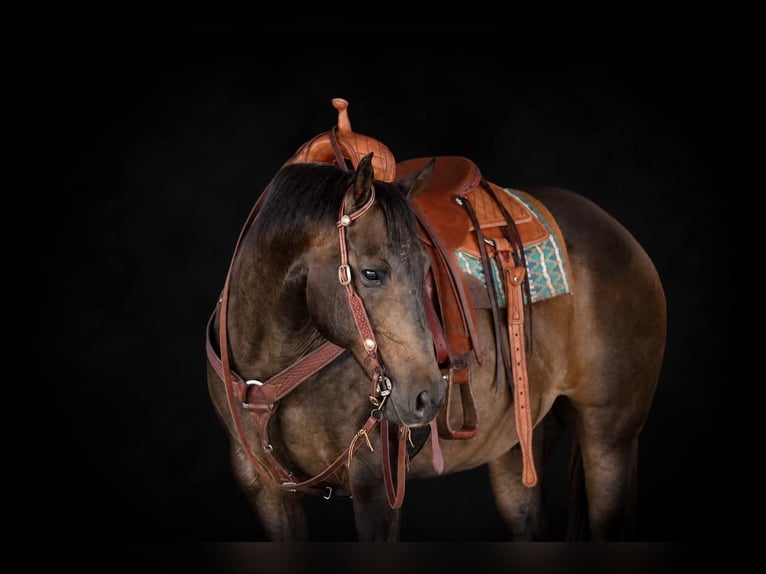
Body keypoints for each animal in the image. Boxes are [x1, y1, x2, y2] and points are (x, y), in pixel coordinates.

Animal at [205, 99, 666, 541]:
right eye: (371, 273)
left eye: (427, 270)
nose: (427, 397)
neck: (273, 364)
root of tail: (620, 235)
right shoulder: (264, 489)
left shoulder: (375, 484)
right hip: (518, 445)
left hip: (610, 439)